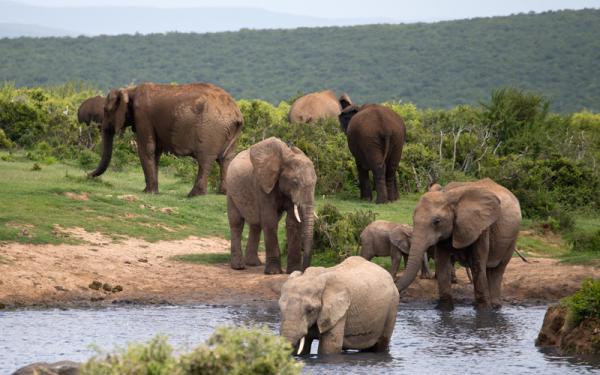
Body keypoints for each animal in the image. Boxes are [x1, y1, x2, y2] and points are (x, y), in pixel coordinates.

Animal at [88, 83, 243, 198]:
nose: (88, 175)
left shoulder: (143, 116)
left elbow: (146, 149)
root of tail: (236, 113)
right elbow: (156, 152)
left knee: (205, 160)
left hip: (211, 130)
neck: (130, 90)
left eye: (106, 110)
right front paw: (151, 191)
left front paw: (148, 193)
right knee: (226, 159)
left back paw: (193, 195)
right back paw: (223, 193)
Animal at [226, 137, 318, 274]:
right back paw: (238, 267)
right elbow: (270, 220)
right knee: (236, 223)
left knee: (256, 225)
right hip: (231, 192)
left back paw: (253, 264)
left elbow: (293, 223)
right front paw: (273, 272)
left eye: (315, 183)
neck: (286, 158)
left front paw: (293, 271)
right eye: (295, 182)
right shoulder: (262, 185)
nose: (304, 270)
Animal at [394, 179, 520, 312]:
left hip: (512, 237)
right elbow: (442, 263)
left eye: (436, 221)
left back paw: (495, 306)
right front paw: (444, 309)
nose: (399, 296)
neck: (449, 195)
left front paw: (483, 311)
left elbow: (477, 263)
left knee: (497, 269)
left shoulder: (482, 226)